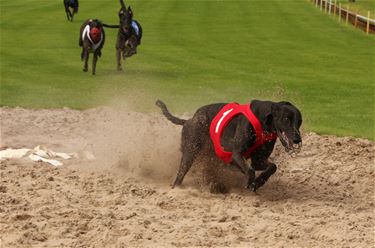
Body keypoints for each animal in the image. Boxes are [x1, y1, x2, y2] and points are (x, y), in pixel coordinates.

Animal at [157, 99, 304, 192]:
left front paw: (258, 182)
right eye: (286, 119)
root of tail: (188, 120)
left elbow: (271, 167)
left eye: (300, 121)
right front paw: (250, 182)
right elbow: (250, 170)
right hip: (191, 150)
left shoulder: (258, 160)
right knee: (181, 172)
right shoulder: (235, 154)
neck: (262, 122)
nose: (297, 139)